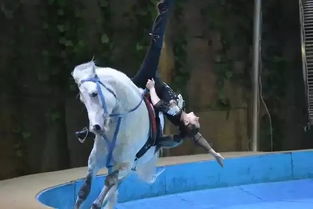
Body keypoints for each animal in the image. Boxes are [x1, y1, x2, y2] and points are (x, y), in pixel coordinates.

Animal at [71, 60, 162, 209]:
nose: (95, 127)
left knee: (115, 184)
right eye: (82, 100)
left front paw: (97, 203)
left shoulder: (125, 164)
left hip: (129, 166)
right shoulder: (94, 161)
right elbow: (84, 191)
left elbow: (109, 183)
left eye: (94, 93)